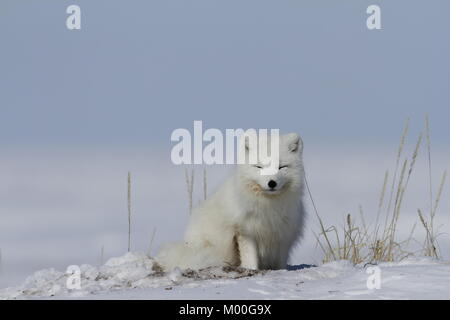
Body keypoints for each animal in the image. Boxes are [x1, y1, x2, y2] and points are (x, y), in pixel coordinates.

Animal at [156, 132, 308, 270]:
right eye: (259, 167)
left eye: (281, 167)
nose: (272, 183)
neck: (268, 207)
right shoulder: (245, 231)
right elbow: (250, 257)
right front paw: (251, 269)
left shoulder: (283, 234)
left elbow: (280, 262)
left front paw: (281, 271)